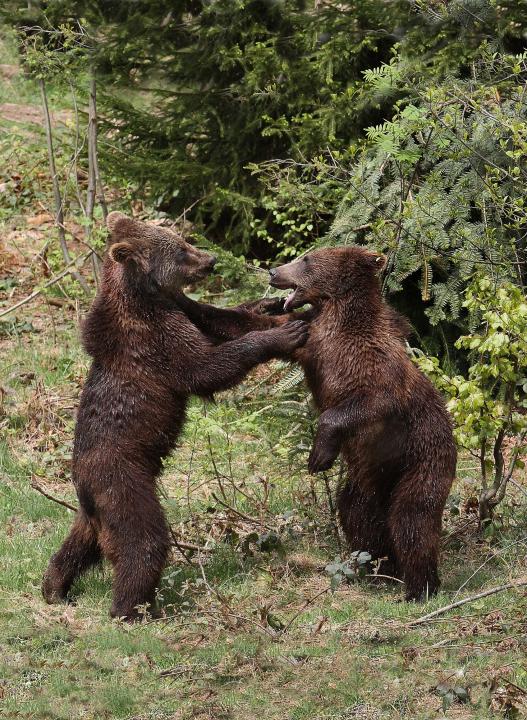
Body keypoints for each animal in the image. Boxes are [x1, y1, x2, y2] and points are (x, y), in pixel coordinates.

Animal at [44, 212, 310, 620]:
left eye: (184, 239)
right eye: (181, 250)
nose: (211, 260)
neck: (147, 295)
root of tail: (82, 485)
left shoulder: (184, 310)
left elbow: (224, 318)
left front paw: (271, 304)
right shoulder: (156, 338)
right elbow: (204, 367)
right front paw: (286, 333)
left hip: (94, 510)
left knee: (78, 544)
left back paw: (54, 587)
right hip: (123, 480)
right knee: (143, 540)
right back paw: (130, 608)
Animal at [270, 248, 456, 600]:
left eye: (307, 259)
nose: (274, 271)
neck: (336, 315)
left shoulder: (371, 365)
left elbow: (369, 402)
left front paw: (318, 456)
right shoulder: (313, 340)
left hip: (423, 454)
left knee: (413, 517)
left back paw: (419, 587)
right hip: (369, 477)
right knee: (358, 513)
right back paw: (378, 569)